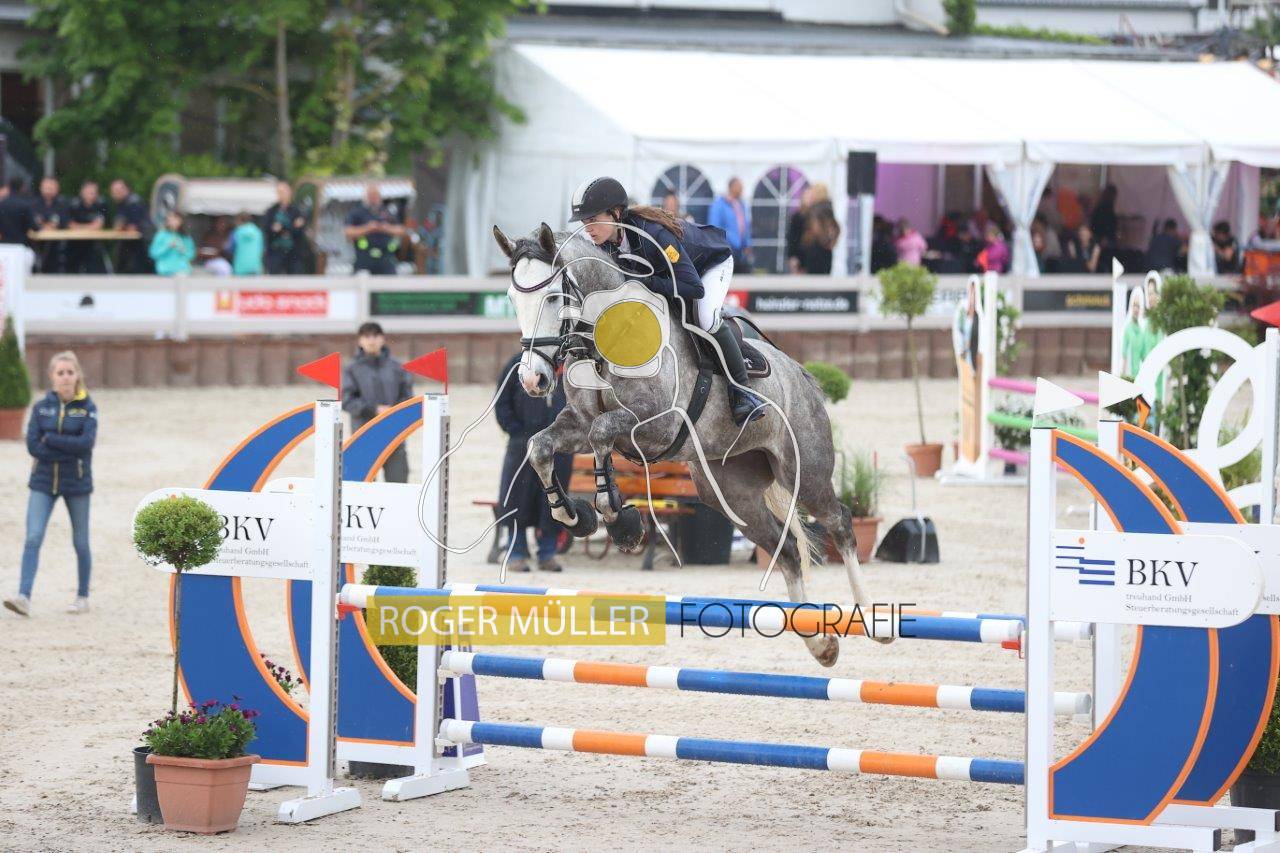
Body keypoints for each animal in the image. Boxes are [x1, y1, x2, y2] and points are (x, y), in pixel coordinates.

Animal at [492, 222, 886, 665]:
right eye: (512, 300)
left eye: (553, 297)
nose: (533, 380)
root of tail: (802, 375)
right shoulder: (577, 422)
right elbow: (541, 447)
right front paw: (575, 516)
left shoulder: (656, 425)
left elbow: (602, 435)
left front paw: (621, 521)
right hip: (728, 492)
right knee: (784, 549)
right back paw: (821, 645)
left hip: (804, 472)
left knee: (841, 523)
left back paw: (873, 620)